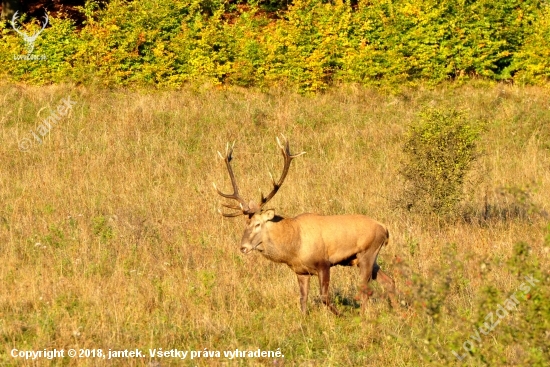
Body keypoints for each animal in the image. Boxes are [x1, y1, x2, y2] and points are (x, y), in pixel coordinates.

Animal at [213, 137, 398, 314]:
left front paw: (341, 315)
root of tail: (385, 228)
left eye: (258, 224)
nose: (243, 247)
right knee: (389, 281)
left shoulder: (324, 262)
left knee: (366, 288)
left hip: (367, 252)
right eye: (246, 223)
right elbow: (303, 299)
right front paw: (303, 319)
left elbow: (324, 296)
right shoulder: (301, 271)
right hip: (363, 259)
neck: (294, 247)